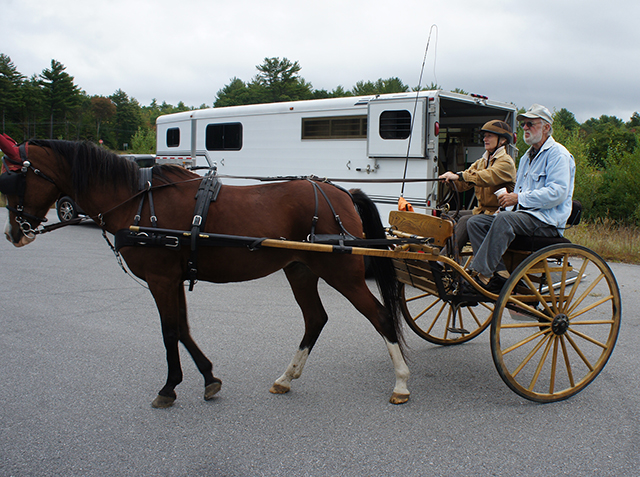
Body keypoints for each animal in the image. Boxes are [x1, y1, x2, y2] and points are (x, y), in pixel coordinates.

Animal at [2, 138, 410, 406]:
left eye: (13, 179)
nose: (14, 233)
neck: (138, 203)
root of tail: (342, 193)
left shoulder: (160, 280)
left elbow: (170, 332)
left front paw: (169, 388)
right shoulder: (172, 280)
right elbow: (182, 329)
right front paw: (208, 378)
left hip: (343, 273)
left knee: (380, 316)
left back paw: (401, 383)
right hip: (300, 270)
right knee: (315, 319)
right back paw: (286, 377)